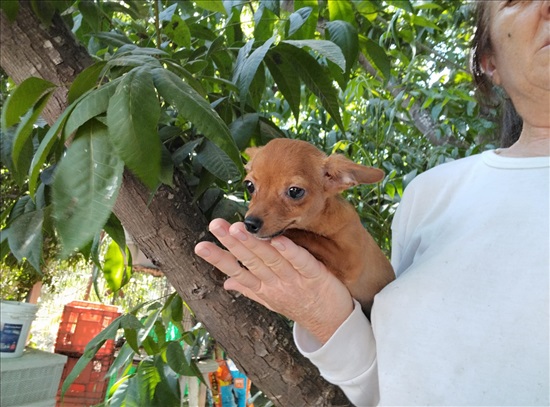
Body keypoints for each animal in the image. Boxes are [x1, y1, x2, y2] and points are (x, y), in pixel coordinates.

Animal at [246, 139, 396, 318]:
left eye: (295, 191)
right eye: (249, 186)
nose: (249, 223)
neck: (320, 222)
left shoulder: (349, 259)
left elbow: (310, 236)